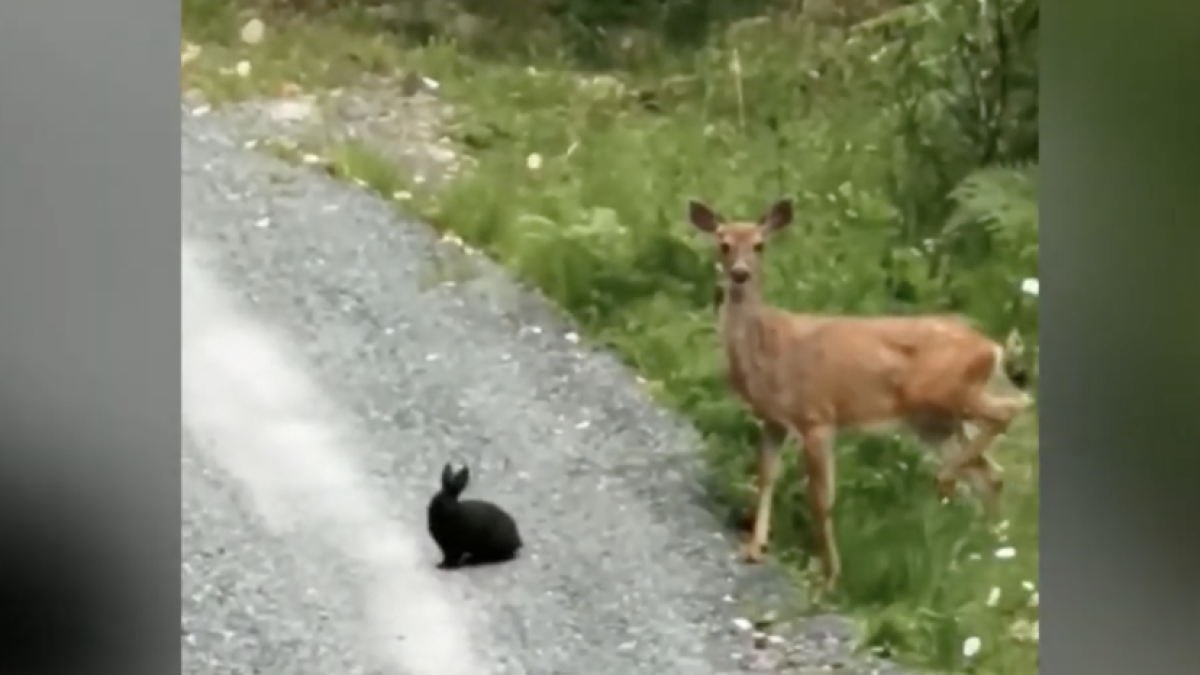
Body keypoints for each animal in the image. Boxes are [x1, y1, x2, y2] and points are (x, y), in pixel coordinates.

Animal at [691, 195, 1036, 593]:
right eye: (723, 243)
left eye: (760, 245)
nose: (740, 273)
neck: (769, 347)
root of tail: (992, 348)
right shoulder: (773, 419)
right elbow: (765, 477)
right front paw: (754, 548)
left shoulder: (817, 416)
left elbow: (820, 498)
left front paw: (829, 577)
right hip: (933, 421)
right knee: (991, 472)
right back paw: (990, 543)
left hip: (945, 394)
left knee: (1012, 409)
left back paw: (952, 486)